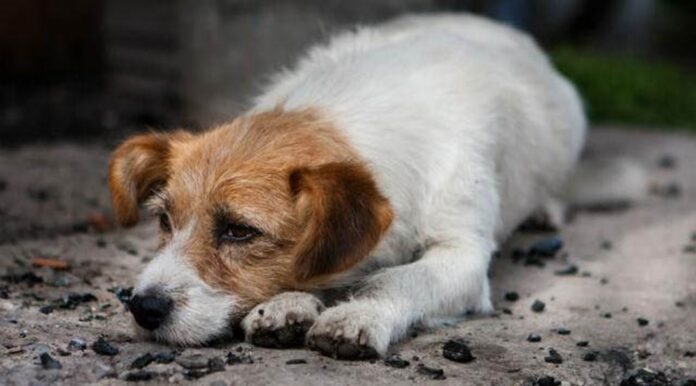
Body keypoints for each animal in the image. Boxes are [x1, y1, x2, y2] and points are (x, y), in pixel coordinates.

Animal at [107, 14, 588, 358]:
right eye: (164, 220)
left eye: (240, 231)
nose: (143, 307)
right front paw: (286, 305)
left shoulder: (462, 255)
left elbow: (398, 280)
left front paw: (357, 314)